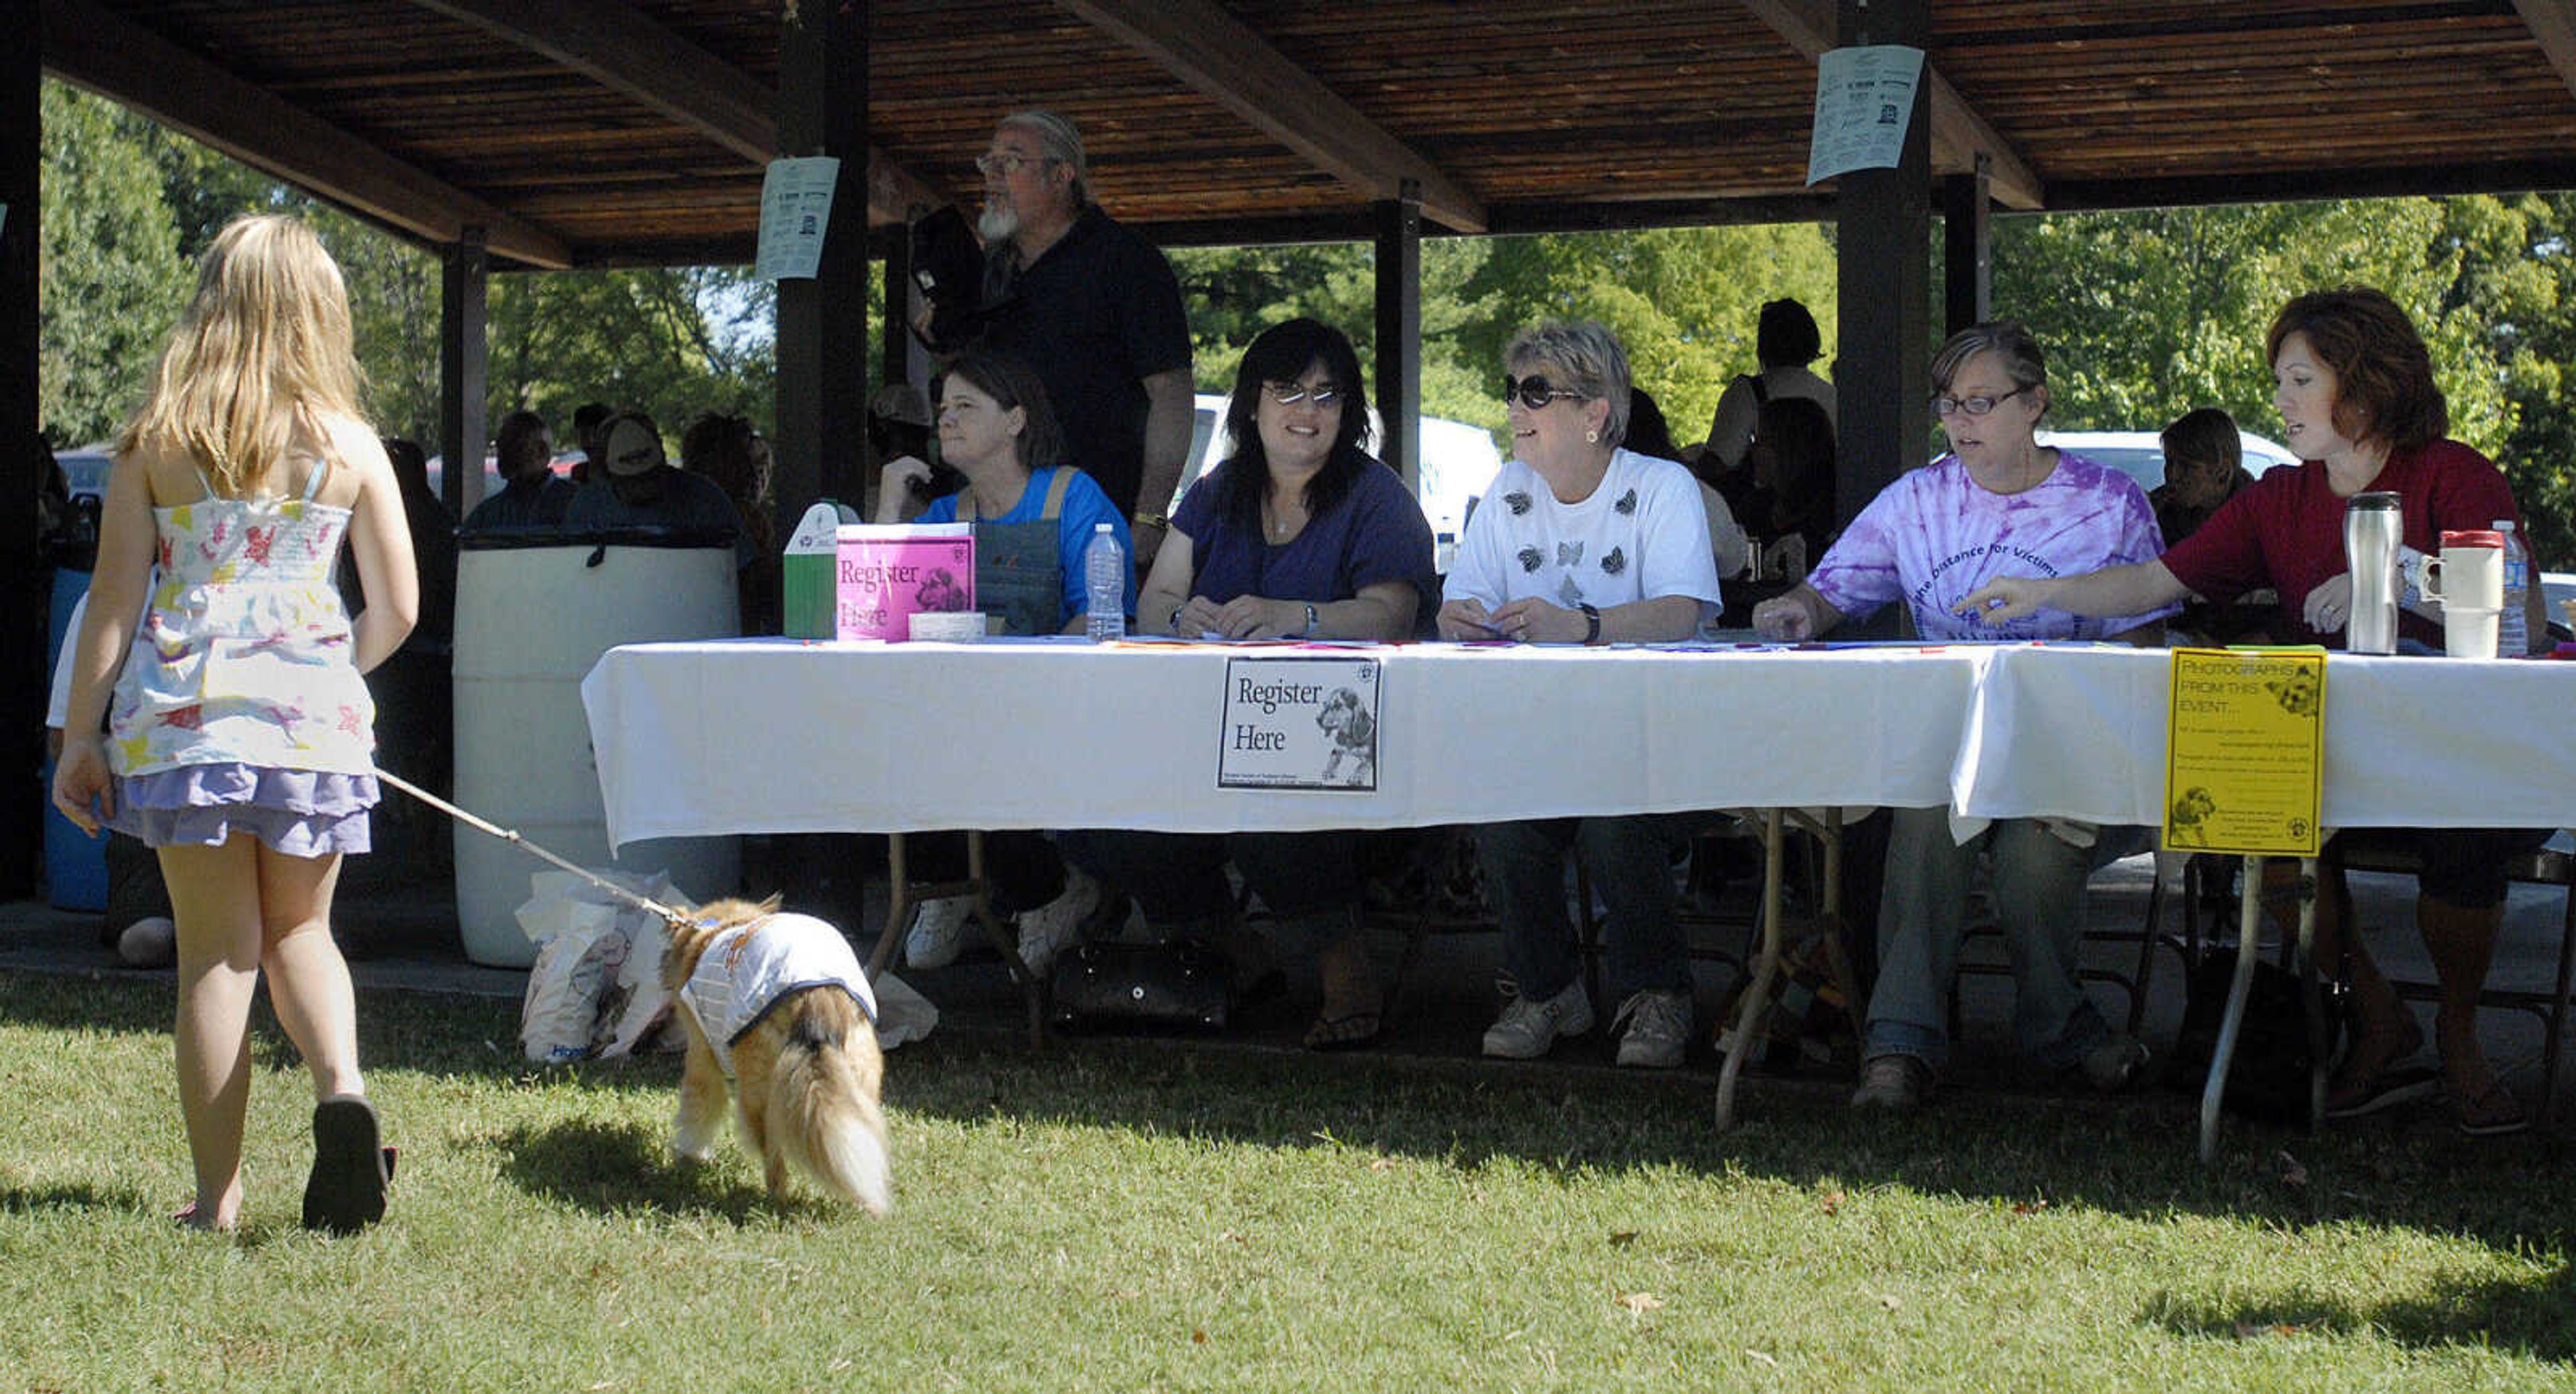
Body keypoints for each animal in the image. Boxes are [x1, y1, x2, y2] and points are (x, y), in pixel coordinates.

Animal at [664, 896, 896, 1211]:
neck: (712, 929)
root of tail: (816, 998)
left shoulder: (702, 1060)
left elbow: (698, 1113)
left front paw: (690, 1155)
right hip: (859, 1078)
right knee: (863, 1137)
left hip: (758, 1093)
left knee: (774, 1158)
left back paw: (775, 1201)